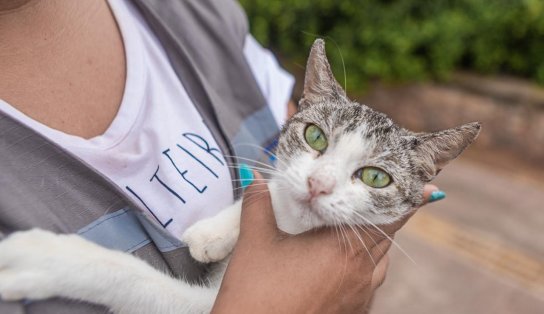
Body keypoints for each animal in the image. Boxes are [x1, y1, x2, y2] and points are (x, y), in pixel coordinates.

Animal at [0, 38, 478, 312]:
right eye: (315, 136)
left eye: (376, 178)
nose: (318, 184)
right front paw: (215, 232)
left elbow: (140, 282)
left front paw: (47, 259)